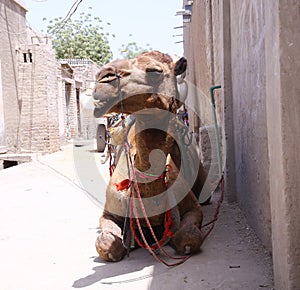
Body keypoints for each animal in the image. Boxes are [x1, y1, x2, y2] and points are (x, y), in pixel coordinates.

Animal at [92, 51, 207, 262]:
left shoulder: (193, 207)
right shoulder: (109, 212)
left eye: (154, 71)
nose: (103, 77)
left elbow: (189, 237)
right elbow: (107, 245)